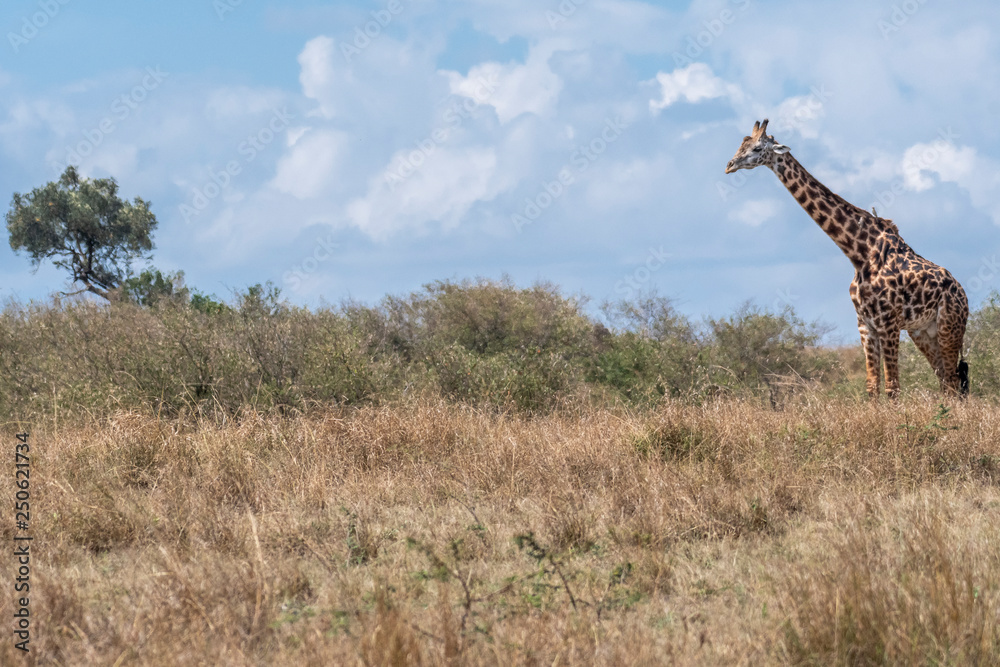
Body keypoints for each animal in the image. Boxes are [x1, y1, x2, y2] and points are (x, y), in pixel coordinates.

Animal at [725, 119, 969, 400]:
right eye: (741, 143)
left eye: (756, 148)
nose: (729, 165)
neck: (859, 254)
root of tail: (964, 295)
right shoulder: (865, 324)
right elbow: (872, 387)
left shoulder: (888, 323)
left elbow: (892, 388)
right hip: (923, 332)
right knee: (945, 381)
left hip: (949, 327)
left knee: (953, 381)